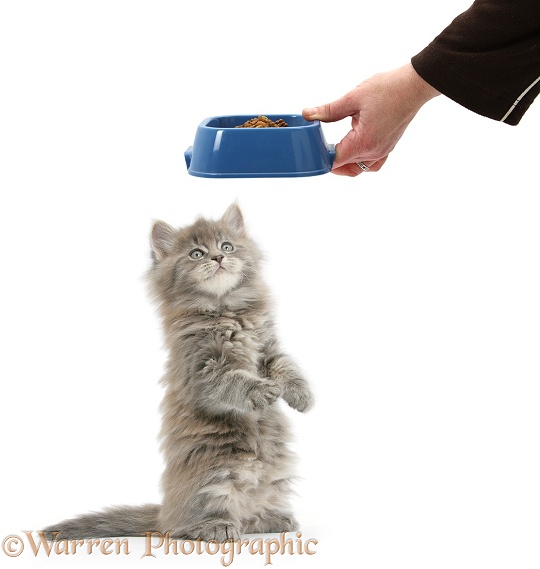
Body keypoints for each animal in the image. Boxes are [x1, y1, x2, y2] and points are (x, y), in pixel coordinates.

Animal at [44, 203, 314, 540]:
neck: (225, 309)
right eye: (196, 254)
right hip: (215, 473)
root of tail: (164, 515)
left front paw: (301, 394)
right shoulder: (203, 371)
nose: (218, 258)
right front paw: (264, 390)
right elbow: (235, 381)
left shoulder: (268, 348)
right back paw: (219, 527)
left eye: (227, 246)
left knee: (251, 517)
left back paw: (271, 519)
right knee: (191, 523)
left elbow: (287, 366)